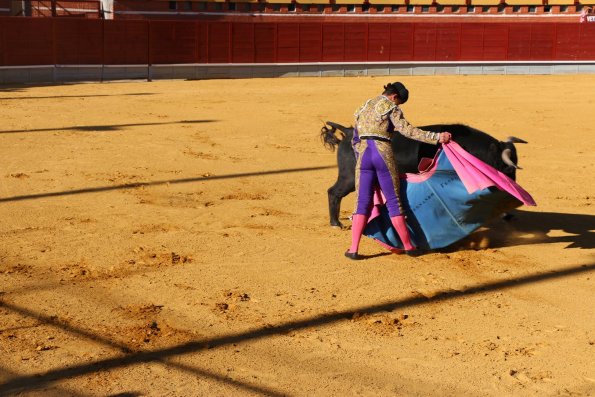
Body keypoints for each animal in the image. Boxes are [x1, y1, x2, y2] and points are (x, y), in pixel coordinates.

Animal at [322, 120, 528, 226]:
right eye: (508, 170)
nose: (510, 213)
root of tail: (349, 132)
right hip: (350, 177)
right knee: (333, 192)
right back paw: (336, 223)